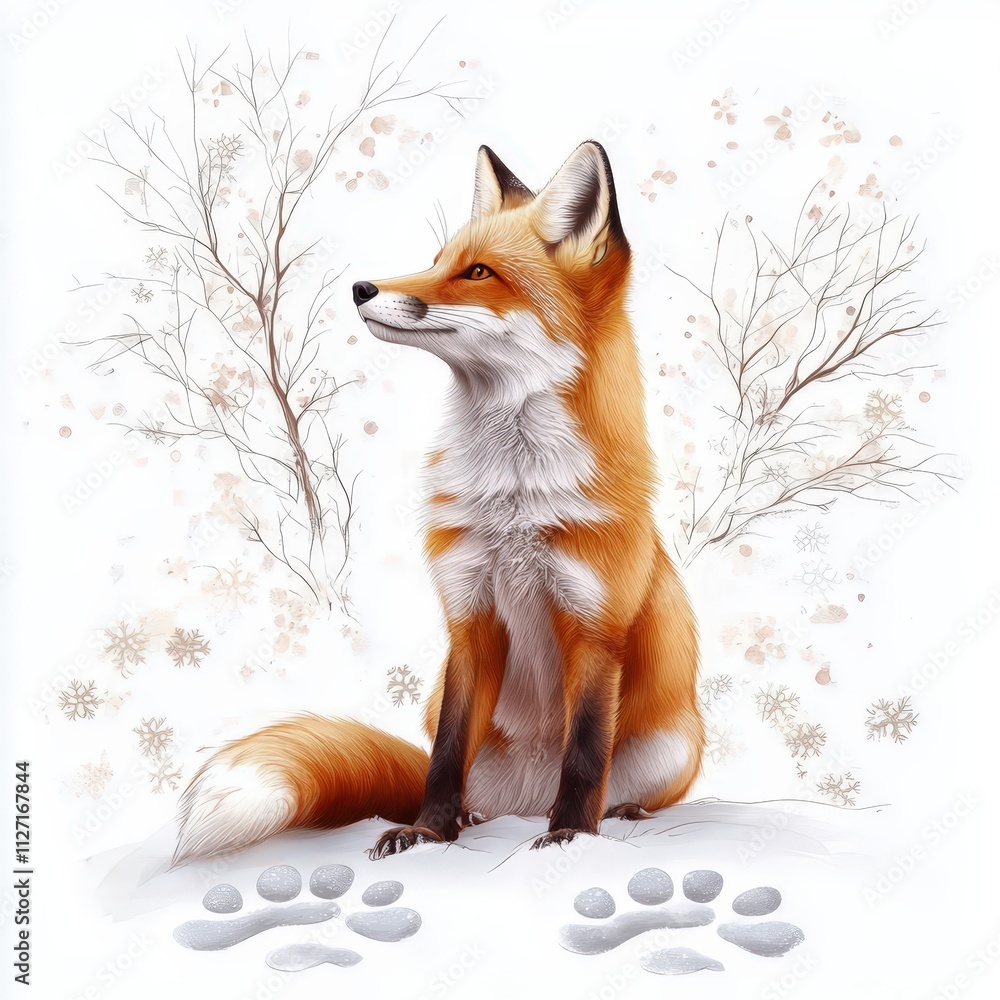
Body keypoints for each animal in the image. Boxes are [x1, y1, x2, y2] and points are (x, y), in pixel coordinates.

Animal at [172, 140, 703, 865]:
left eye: (478, 272)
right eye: (435, 259)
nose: (362, 288)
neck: (513, 496)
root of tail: (521, 801)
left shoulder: (596, 626)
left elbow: (586, 753)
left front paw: (569, 835)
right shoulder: (468, 615)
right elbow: (446, 755)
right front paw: (428, 832)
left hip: (673, 743)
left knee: (618, 784)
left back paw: (614, 814)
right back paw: (473, 820)